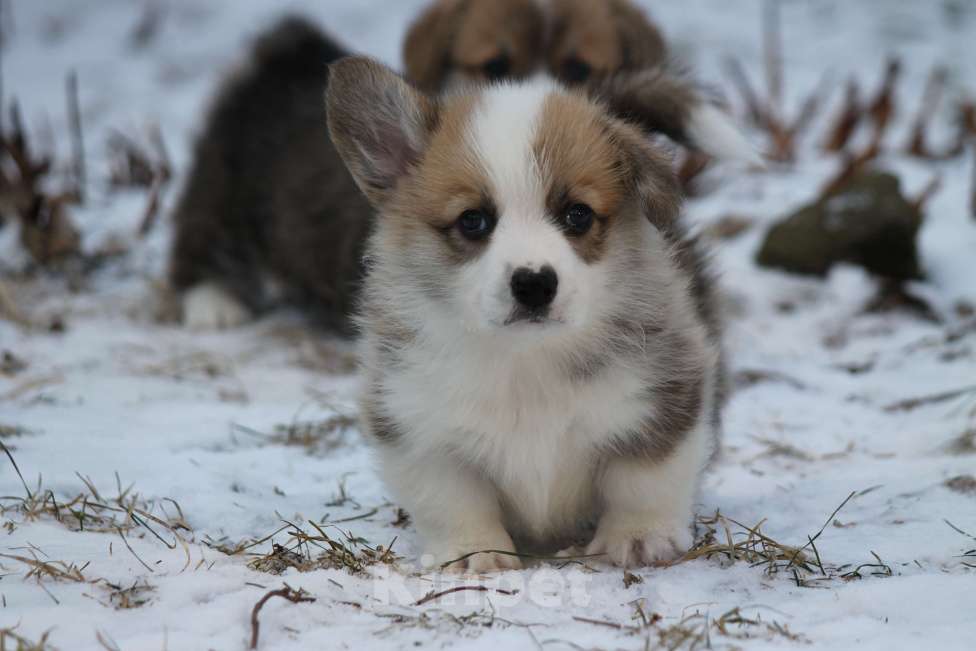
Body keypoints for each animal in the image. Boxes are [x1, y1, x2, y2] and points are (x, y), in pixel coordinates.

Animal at [326, 58, 724, 572]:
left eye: (578, 215)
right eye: (473, 220)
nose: (534, 283)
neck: (526, 358)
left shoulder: (666, 397)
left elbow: (642, 479)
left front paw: (638, 538)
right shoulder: (417, 427)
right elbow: (452, 500)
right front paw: (474, 553)